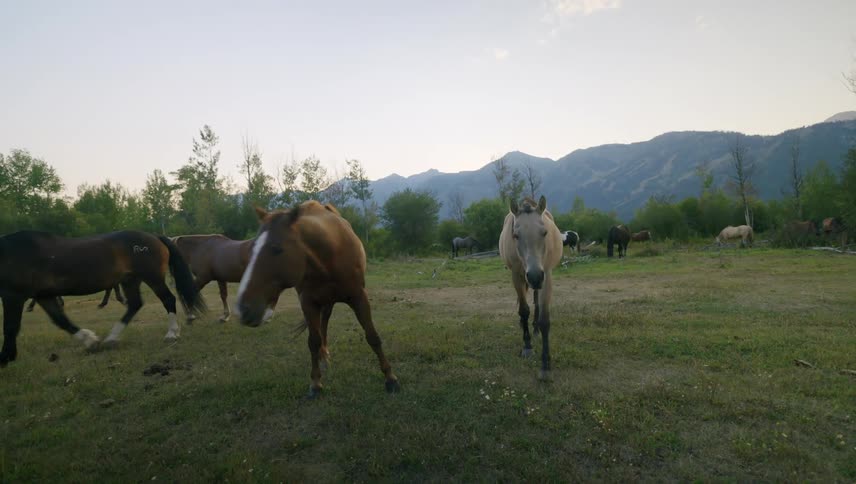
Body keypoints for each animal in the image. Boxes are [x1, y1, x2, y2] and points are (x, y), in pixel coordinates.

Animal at [0, 230, 205, 366]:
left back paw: (172, 333)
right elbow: (61, 320)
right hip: (130, 280)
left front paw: (6, 357)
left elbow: (10, 327)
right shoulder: (44, 296)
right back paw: (111, 338)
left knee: (168, 299)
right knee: (135, 305)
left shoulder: (13, 296)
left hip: (152, 278)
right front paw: (90, 340)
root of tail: (154, 237)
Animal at [236, 201, 399, 397]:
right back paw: (323, 354)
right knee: (323, 326)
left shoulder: (359, 297)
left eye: (276, 248)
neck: (329, 257)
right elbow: (313, 341)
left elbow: (373, 337)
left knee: (325, 322)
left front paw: (390, 379)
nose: (243, 309)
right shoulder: (308, 303)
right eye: (251, 249)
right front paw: (315, 383)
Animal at [499, 196, 563, 380]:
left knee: (536, 301)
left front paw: (545, 366)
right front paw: (527, 346)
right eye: (515, 235)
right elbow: (524, 310)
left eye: (545, 233)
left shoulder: (546, 275)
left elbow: (544, 320)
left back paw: (534, 329)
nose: (534, 276)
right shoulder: (516, 276)